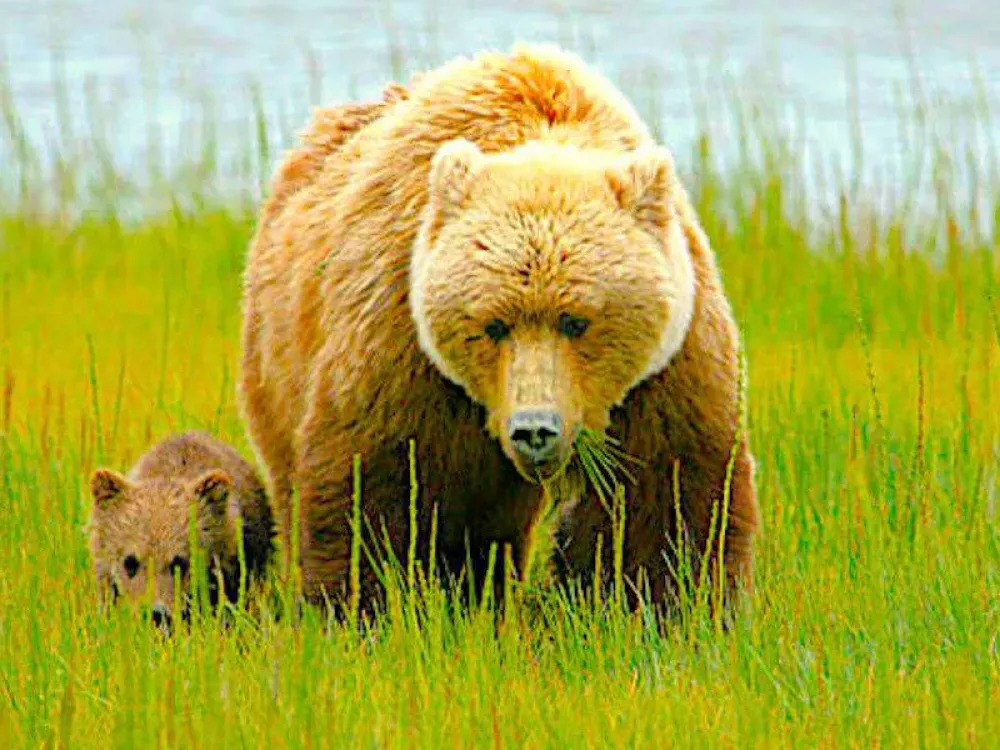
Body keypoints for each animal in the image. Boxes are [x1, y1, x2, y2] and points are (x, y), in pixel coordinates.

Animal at [238, 42, 760, 620]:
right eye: (494, 325)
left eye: (576, 320)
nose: (535, 429)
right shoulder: (406, 347)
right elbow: (376, 485)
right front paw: (365, 605)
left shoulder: (666, 369)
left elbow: (668, 499)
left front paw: (665, 607)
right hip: (278, 355)